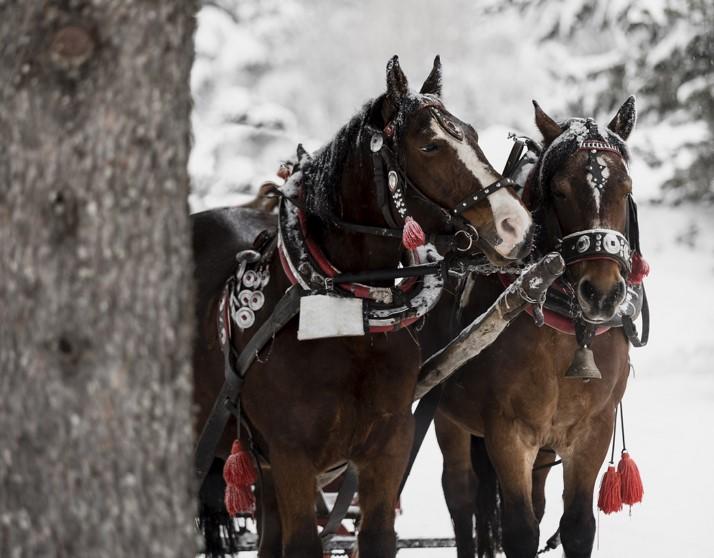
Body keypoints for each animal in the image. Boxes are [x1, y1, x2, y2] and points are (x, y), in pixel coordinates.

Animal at [191, 55, 534, 558]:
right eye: (430, 145)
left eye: (470, 133)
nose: (516, 226)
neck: (349, 318)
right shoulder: (292, 456)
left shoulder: (387, 446)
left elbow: (375, 538)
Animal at [430, 97, 643, 558]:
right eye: (560, 191)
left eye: (626, 187)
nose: (602, 294)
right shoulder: (508, 433)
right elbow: (520, 531)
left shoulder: (592, 431)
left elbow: (578, 526)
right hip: (447, 417)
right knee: (461, 496)